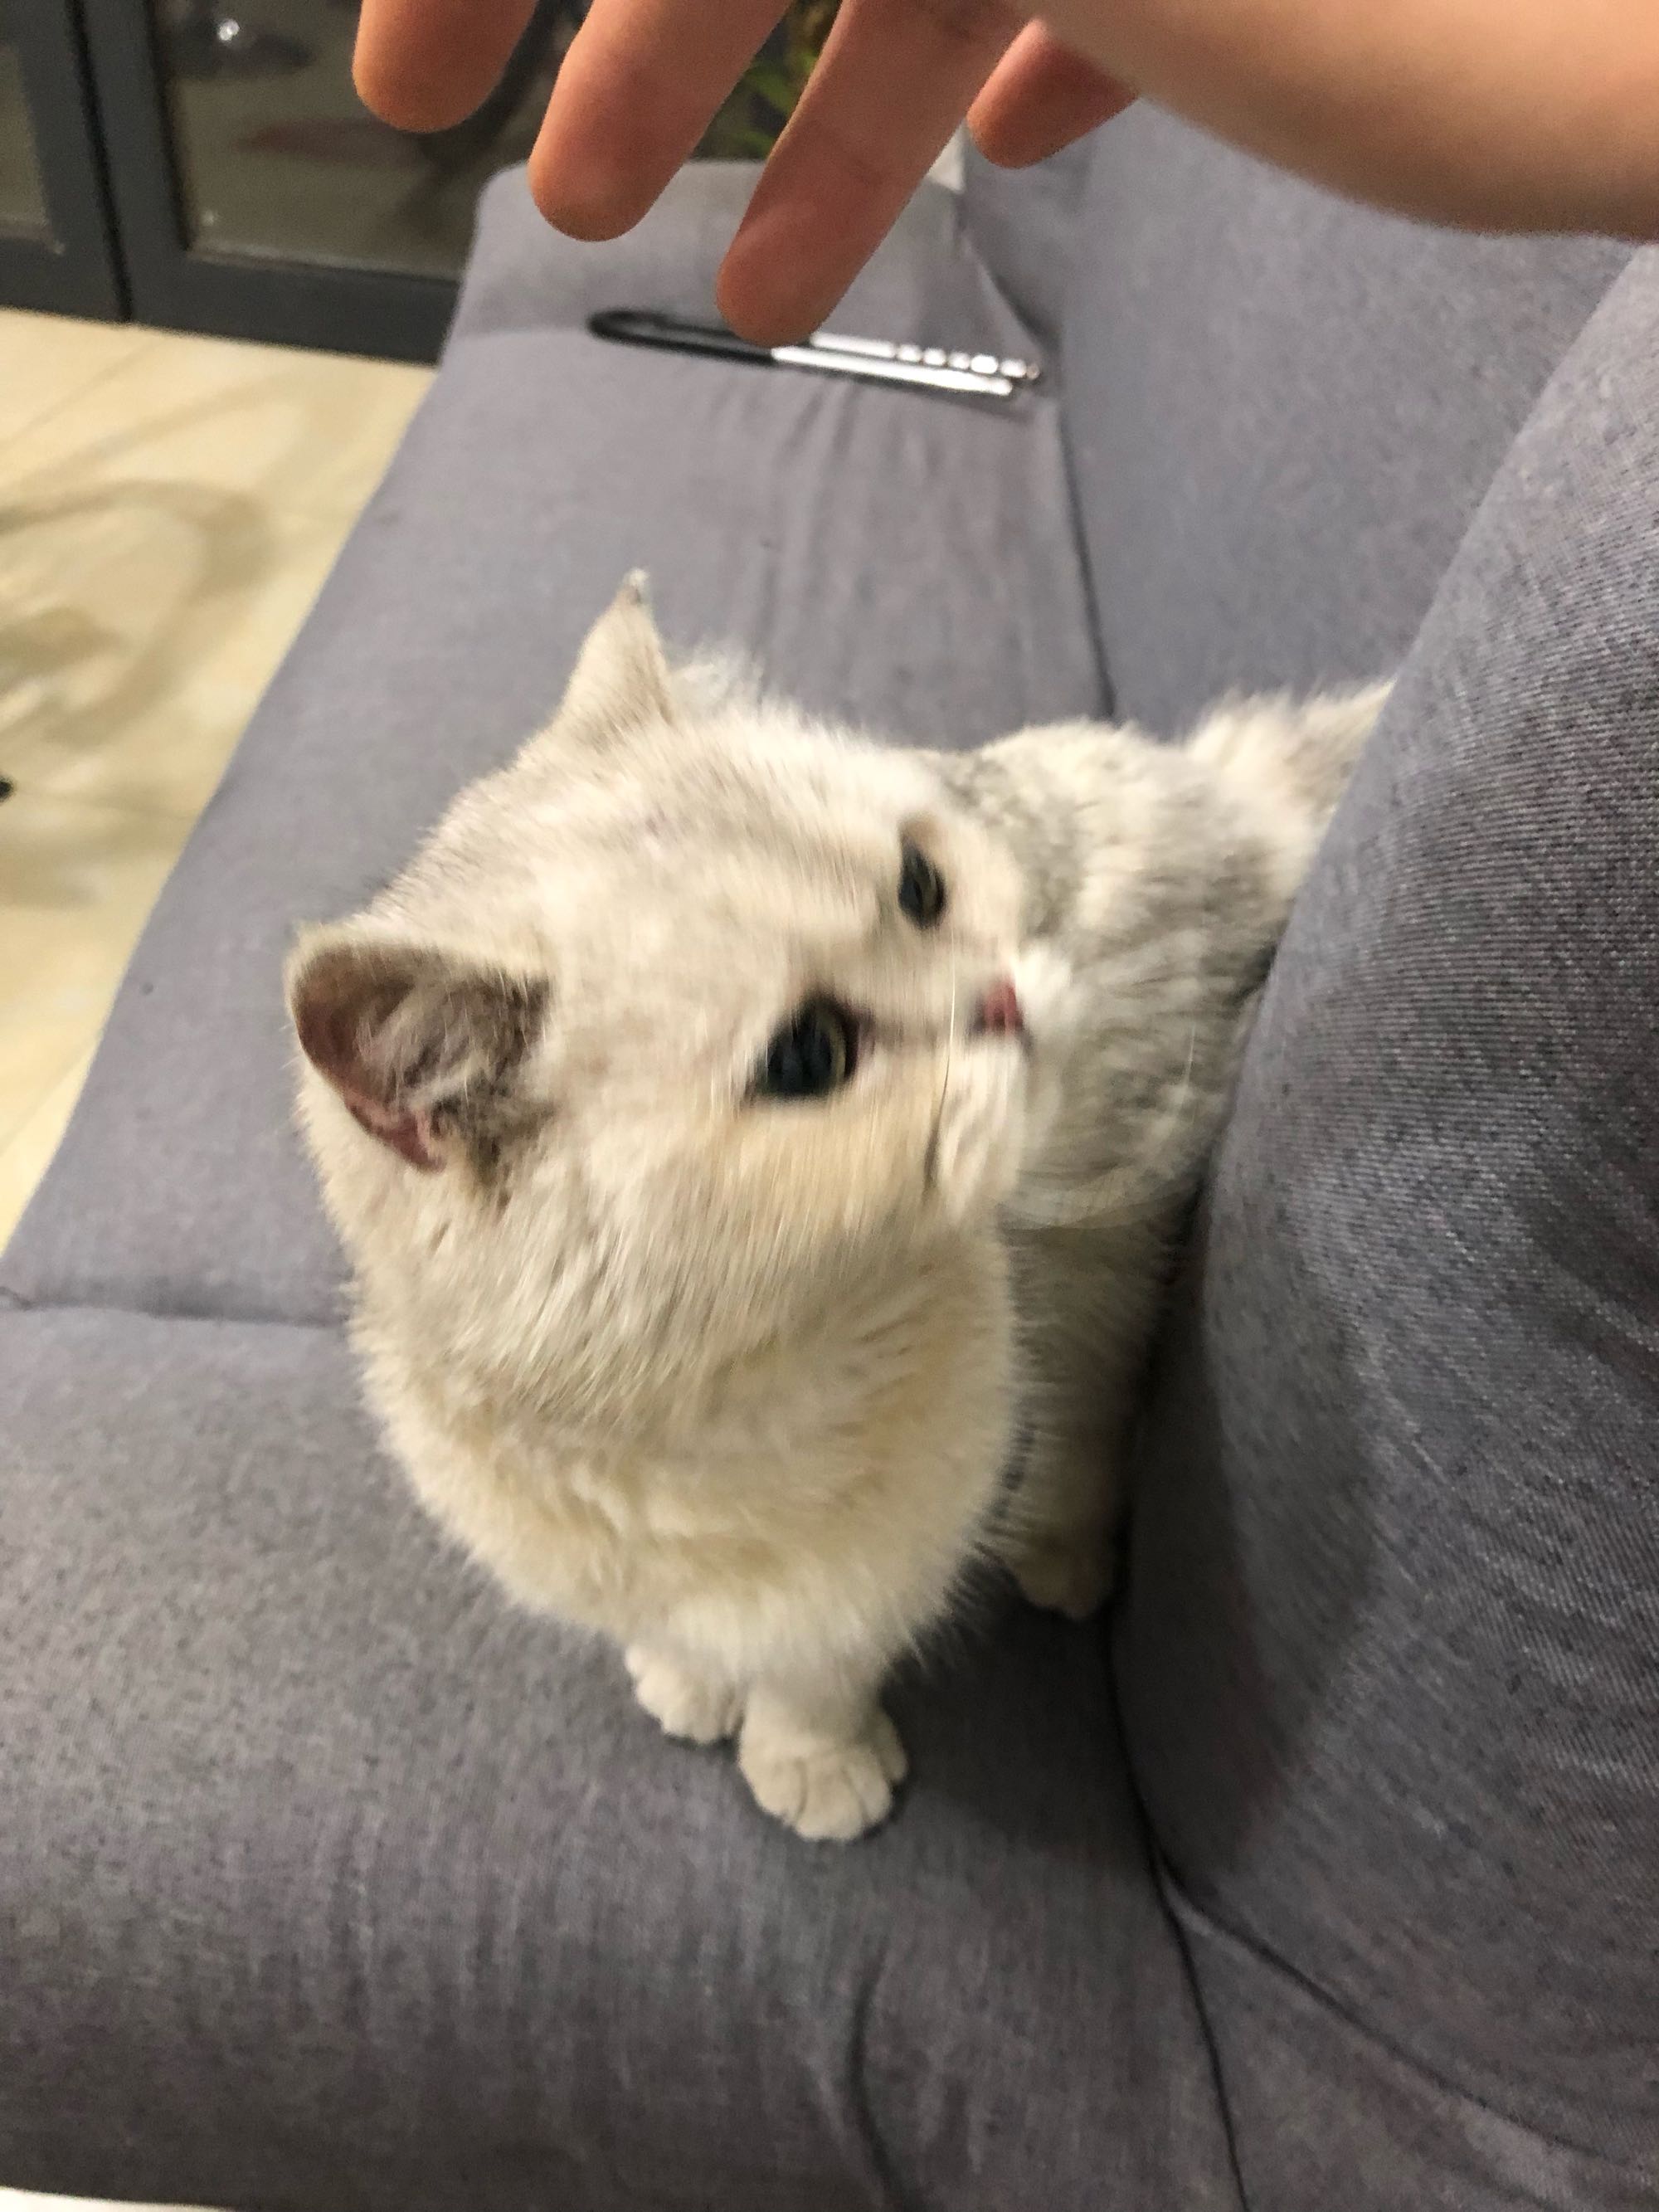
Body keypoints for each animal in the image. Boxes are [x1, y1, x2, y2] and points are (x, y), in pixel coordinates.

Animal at [288, 575, 1385, 1842]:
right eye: (807, 1055)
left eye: (918, 885)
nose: (1001, 996)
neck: (710, 1402)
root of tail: (1216, 785)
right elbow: (673, 1635)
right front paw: (688, 1683)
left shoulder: (879, 1561)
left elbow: (818, 1673)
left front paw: (810, 1765)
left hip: (1104, 1246)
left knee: (1091, 1416)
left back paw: (1058, 1549)